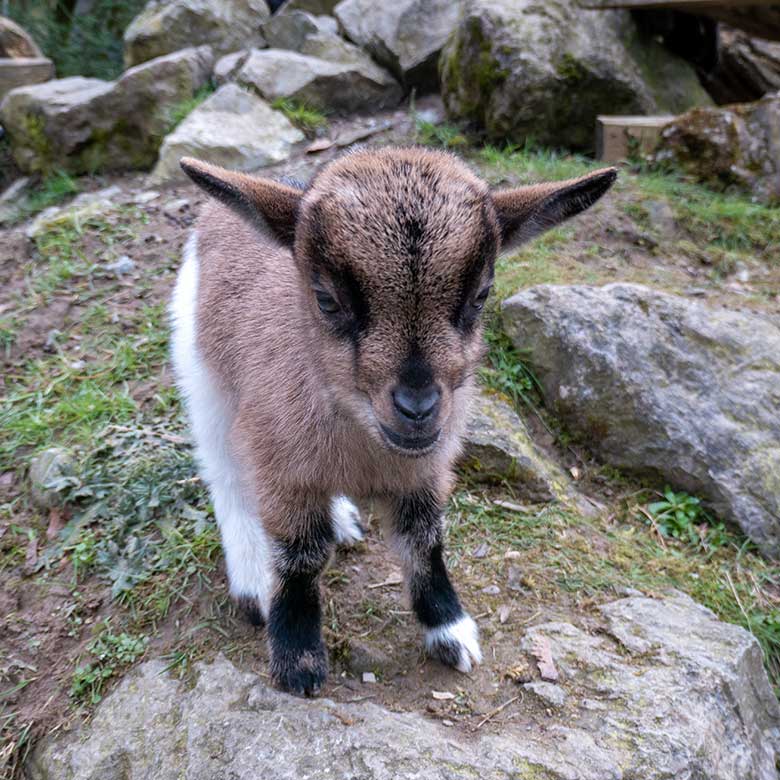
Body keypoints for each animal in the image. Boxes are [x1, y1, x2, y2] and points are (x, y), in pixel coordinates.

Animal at [171, 146, 616, 696]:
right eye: (326, 299)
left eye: (481, 295)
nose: (417, 407)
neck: (363, 439)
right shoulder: (282, 466)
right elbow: (301, 556)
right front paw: (297, 658)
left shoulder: (426, 471)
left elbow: (424, 544)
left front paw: (449, 629)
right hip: (202, 379)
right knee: (226, 475)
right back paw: (253, 576)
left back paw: (341, 517)